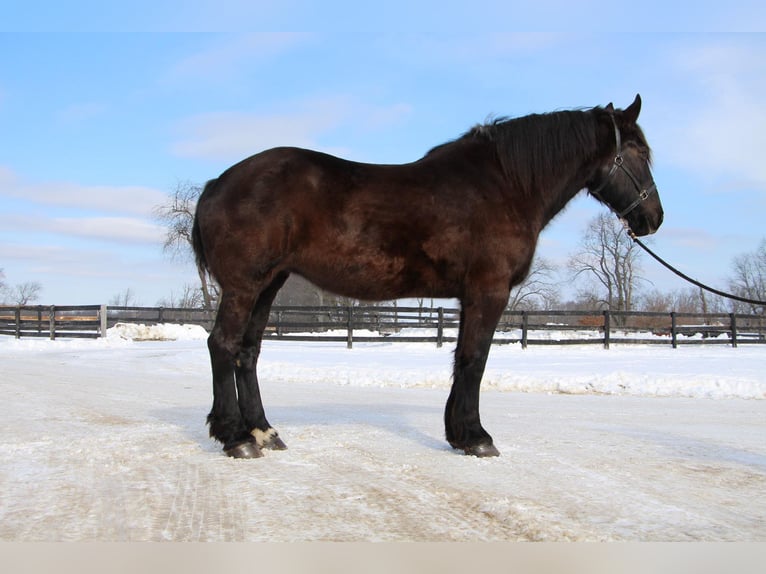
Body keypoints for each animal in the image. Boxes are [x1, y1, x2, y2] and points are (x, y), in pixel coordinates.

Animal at [194, 97, 664, 462]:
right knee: (222, 345)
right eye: (639, 153)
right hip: (244, 286)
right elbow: (475, 359)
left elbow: (461, 359)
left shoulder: (468, 296)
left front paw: (458, 433)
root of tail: (218, 181)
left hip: (268, 284)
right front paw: (476, 438)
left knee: (247, 352)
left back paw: (263, 432)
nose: (654, 218)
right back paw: (235, 437)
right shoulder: (488, 291)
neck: (505, 185)